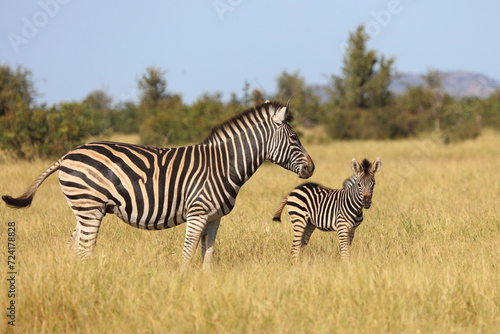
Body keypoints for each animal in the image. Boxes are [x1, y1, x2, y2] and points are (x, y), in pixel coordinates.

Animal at [3, 100, 314, 270]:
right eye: (294, 138)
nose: (312, 168)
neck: (223, 165)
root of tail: (65, 155)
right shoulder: (198, 212)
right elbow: (188, 253)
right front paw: (182, 284)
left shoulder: (214, 218)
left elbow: (208, 254)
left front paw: (205, 284)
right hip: (89, 208)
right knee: (84, 249)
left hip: (85, 209)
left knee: (73, 245)